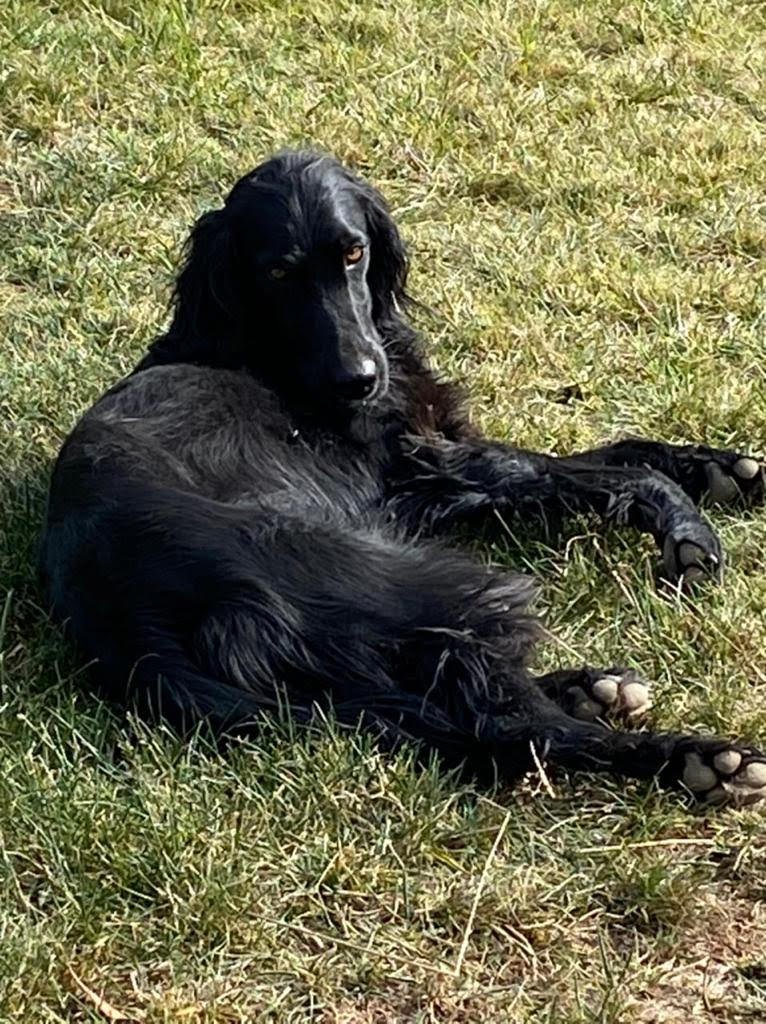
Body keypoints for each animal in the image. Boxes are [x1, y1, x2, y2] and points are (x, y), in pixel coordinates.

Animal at [40, 149, 766, 806]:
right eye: (277, 270)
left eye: (353, 253)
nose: (359, 379)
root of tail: (128, 613)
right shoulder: (434, 468)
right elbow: (606, 470)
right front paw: (688, 531)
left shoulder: (445, 452)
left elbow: (617, 449)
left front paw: (729, 471)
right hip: (424, 582)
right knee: (507, 722)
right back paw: (695, 759)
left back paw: (595, 690)